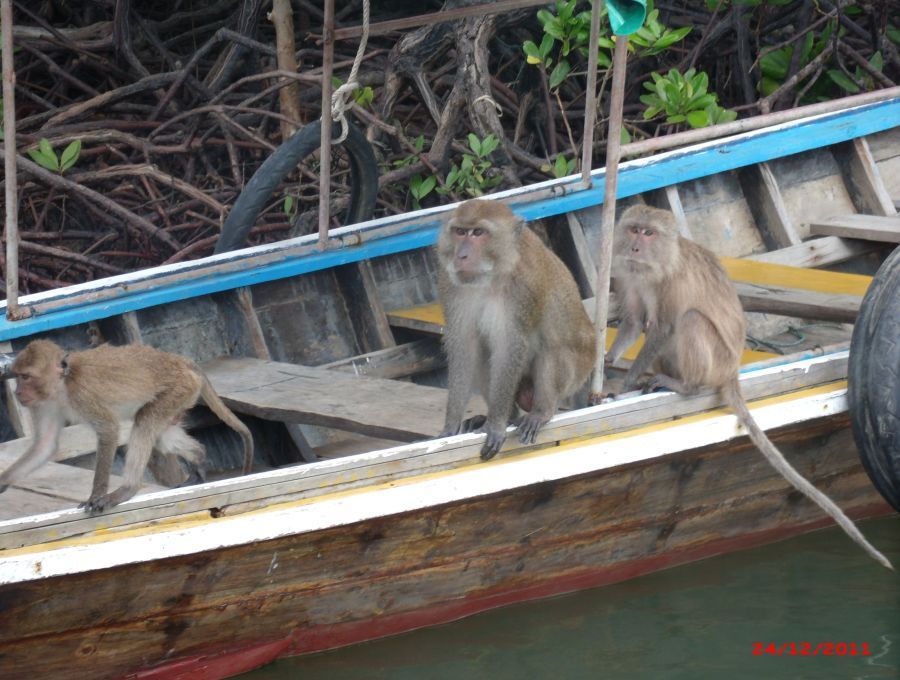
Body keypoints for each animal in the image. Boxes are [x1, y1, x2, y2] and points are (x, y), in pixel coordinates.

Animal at [0, 342, 255, 512]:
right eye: (18, 376)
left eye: (26, 377)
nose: (18, 392)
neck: (62, 384)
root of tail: (180, 360)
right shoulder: (44, 404)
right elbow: (45, 446)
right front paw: (2, 482)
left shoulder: (83, 395)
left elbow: (109, 430)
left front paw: (96, 495)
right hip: (183, 394)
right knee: (160, 433)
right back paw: (199, 459)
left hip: (179, 388)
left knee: (146, 421)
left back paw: (128, 489)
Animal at [604, 205, 892, 572]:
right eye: (635, 229)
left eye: (649, 233)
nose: (636, 246)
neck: (655, 265)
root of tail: (732, 372)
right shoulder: (630, 275)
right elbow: (633, 323)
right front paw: (607, 365)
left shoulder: (672, 282)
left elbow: (663, 328)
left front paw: (626, 381)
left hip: (717, 360)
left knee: (690, 320)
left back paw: (685, 385)